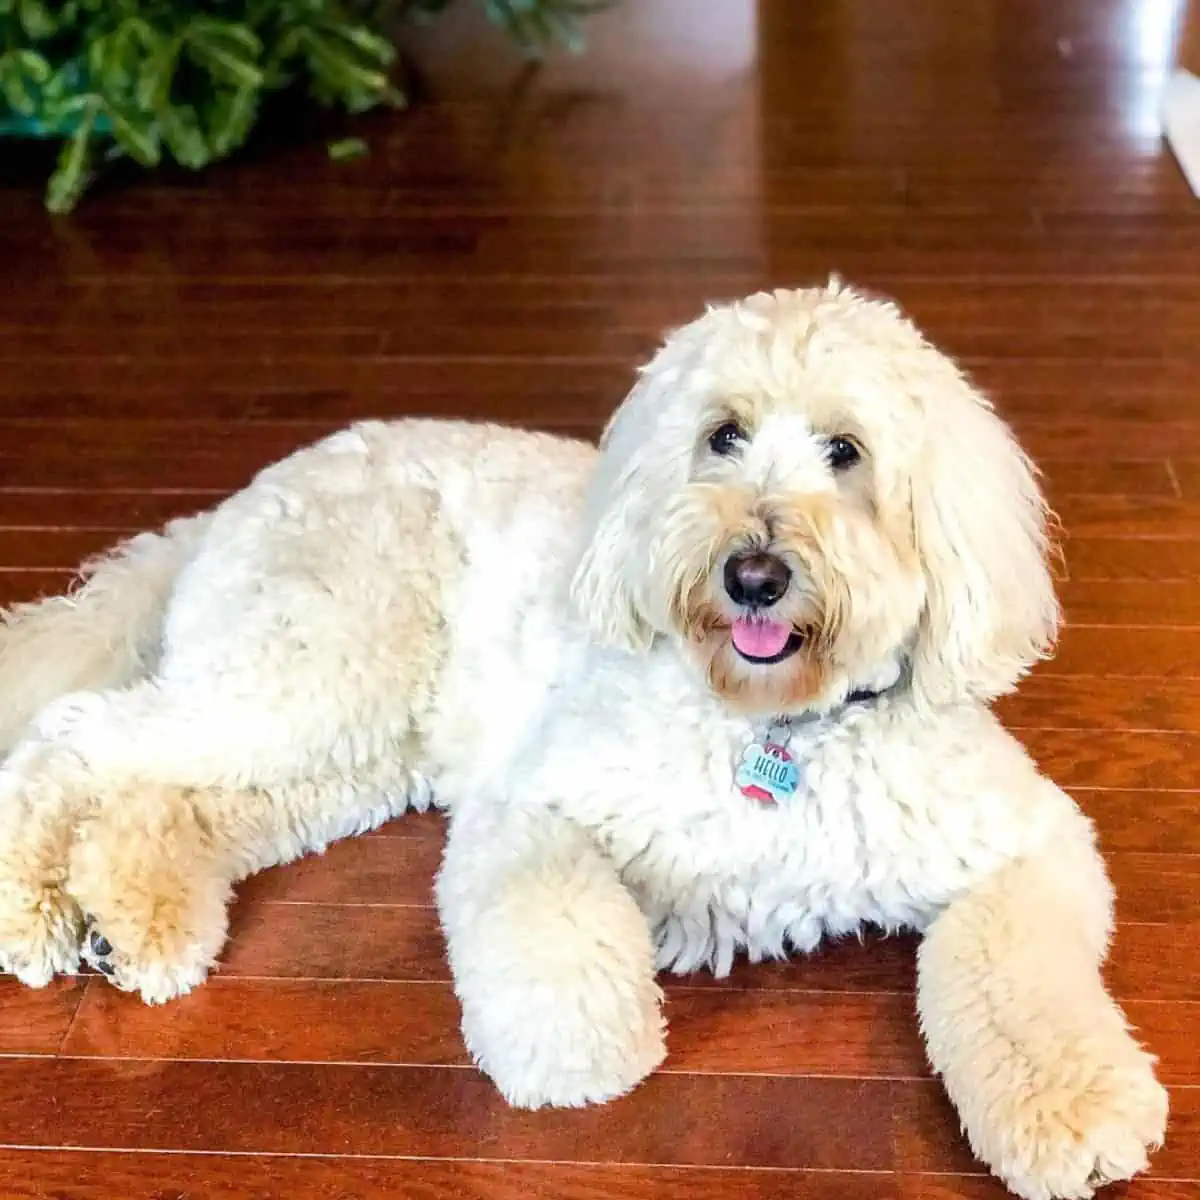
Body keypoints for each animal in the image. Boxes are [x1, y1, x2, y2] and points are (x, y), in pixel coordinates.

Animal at [0, 283, 1166, 1200]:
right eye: (723, 435)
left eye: (847, 453)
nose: (753, 573)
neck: (771, 725)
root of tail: (238, 496)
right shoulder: (532, 799)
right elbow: (554, 926)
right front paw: (581, 1052)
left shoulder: (1027, 843)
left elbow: (1022, 979)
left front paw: (1074, 1108)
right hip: (309, 672)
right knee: (71, 737)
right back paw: (34, 907)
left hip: (346, 748)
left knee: (168, 796)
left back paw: (138, 921)